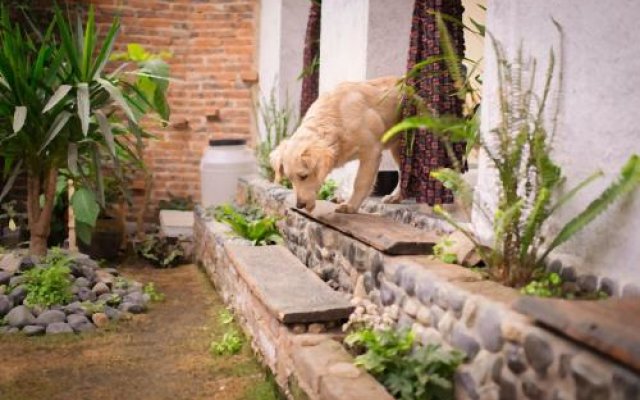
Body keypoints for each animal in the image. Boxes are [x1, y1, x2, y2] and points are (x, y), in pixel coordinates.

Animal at [272, 75, 402, 212]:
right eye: (290, 179)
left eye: (304, 176)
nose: (299, 206)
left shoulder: (372, 152)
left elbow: (360, 182)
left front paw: (351, 205)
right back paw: (396, 197)